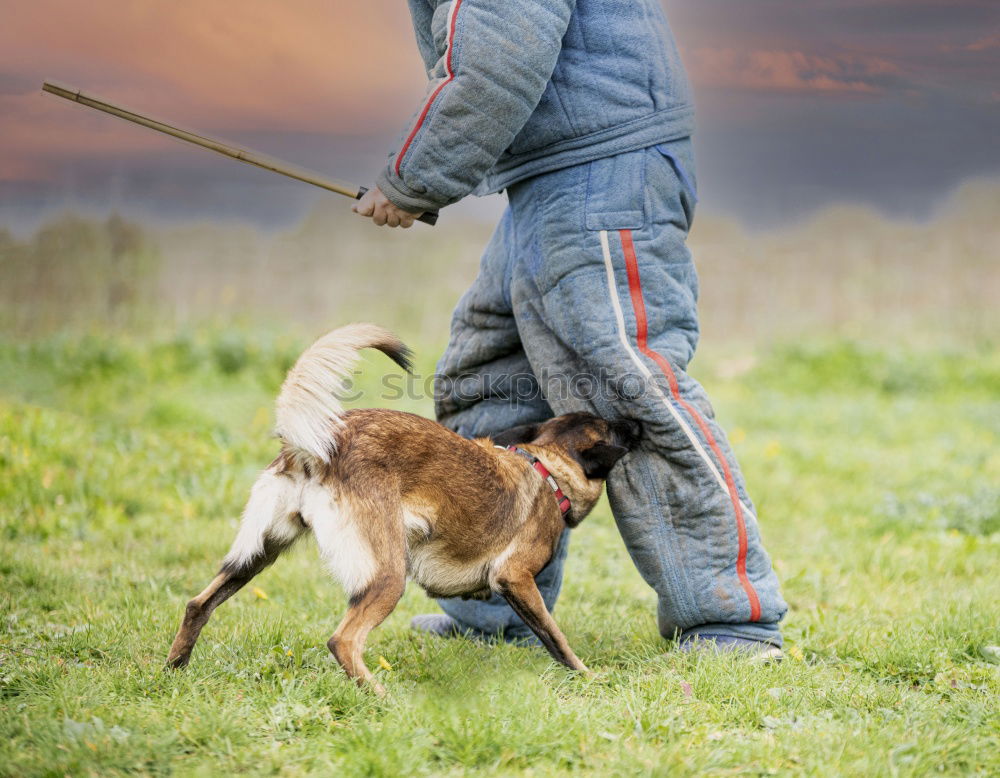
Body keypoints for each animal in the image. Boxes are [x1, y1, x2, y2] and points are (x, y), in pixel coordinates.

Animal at [167, 322, 640, 692]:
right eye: (614, 429)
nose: (635, 421)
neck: (545, 468)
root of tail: (316, 447)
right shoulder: (515, 577)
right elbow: (554, 637)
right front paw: (588, 675)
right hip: (387, 574)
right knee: (343, 641)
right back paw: (380, 697)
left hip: (257, 553)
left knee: (198, 604)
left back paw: (174, 670)